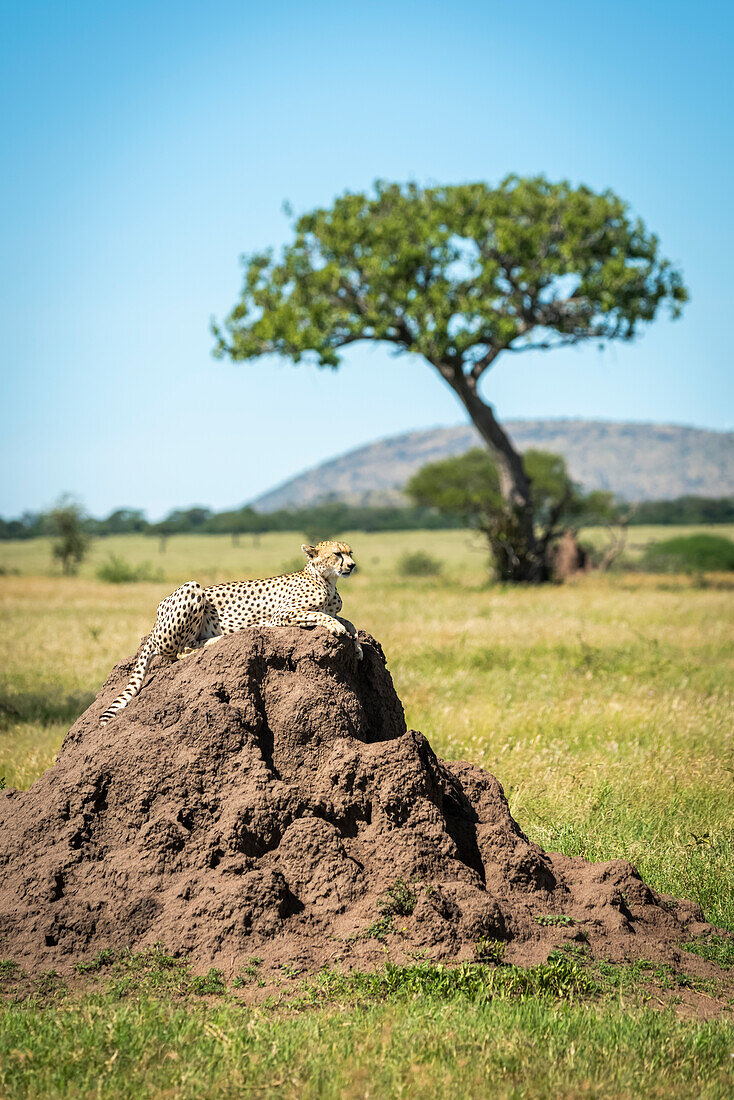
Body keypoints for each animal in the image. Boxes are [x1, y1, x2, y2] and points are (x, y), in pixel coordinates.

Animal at [97, 536, 360, 726]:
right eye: (337, 554)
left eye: (350, 552)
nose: (352, 565)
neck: (326, 580)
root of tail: (155, 621)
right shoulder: (280, 614)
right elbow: (322, 615)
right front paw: (335, 628)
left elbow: (351, 623)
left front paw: (357, 648)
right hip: (192, 589)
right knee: (181, 652)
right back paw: (217, 640)